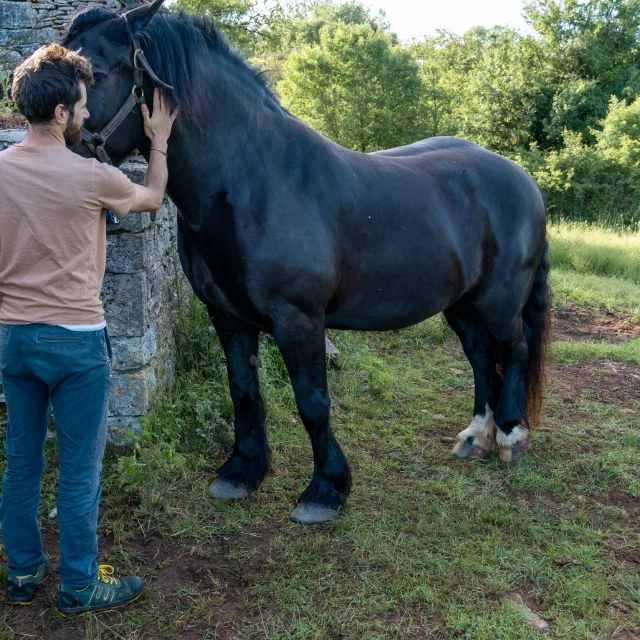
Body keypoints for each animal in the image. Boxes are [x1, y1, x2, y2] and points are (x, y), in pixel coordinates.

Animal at [65, 0, 552, 524]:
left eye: (95, 73)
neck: (252, 181)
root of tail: (522, 179)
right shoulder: (228, 317)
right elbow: (243, 390)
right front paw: (243, 470)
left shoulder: (298, 319)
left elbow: (312, 401)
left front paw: (326, 489)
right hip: (461, 305)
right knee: (481, 357)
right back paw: (476, 437)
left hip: (499, 303)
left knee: (515, 349)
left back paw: (510, 436)